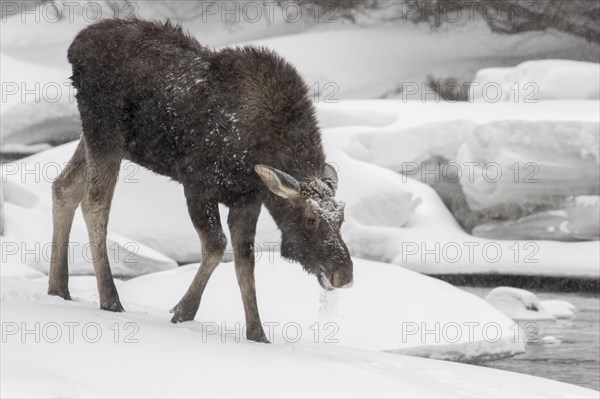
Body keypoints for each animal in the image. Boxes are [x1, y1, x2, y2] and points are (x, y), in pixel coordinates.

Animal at [50, 19, 356, 344]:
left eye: (341, 219)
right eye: (310, 219)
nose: (344, 275)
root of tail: (75, 47)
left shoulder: (247, 200)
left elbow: (245, 262)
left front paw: (257, 334)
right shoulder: (198, 183)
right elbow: (216, 246)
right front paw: (183, 310)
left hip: (102, 139)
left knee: (63, 187)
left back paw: (58, 288)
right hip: (105, 131)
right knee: (94, 202)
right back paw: (110, 299)